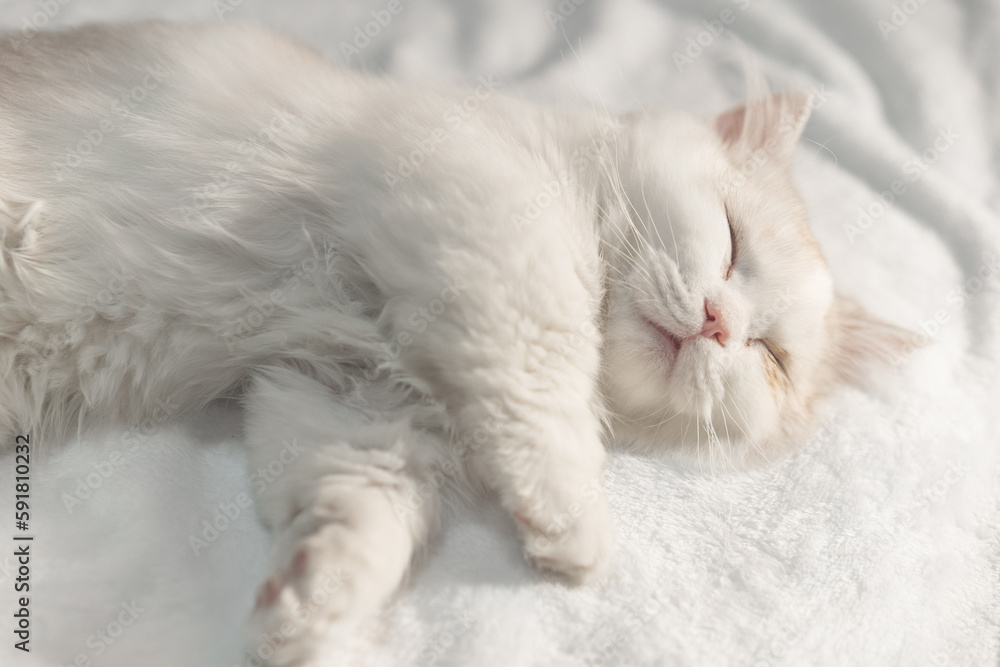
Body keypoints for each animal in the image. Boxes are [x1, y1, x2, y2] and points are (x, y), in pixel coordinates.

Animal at [0, 20, 908, 667]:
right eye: (728, 242)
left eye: (770, 356)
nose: (721, 323)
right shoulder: (499, 226)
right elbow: (550, 383)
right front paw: (575, 522)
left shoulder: (352, 400)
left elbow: (361, 520)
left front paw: (306, 606)